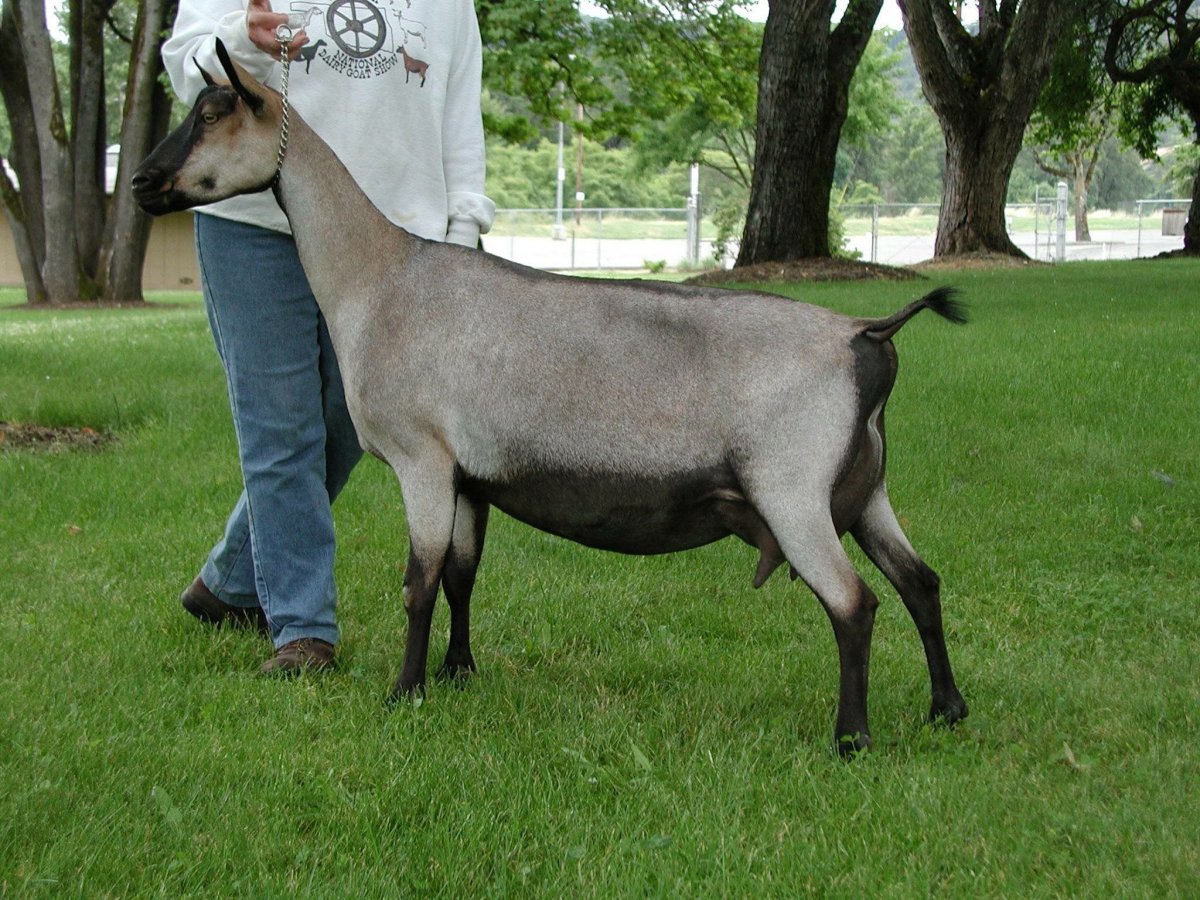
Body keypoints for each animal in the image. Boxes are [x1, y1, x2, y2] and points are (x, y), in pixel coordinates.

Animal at [132, 42, 968, 754]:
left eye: (214, 112)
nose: (142, 183)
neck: (380, 279)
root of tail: (865, 336)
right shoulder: (470, 476)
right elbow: (461, 576)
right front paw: (457, 673)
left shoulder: (421, 458)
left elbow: (419, 583)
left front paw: (404, 693)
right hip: (864, 490)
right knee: (921, 582)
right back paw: (947, 709)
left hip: (792, 490)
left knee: (855, 604)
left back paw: (852, 738)